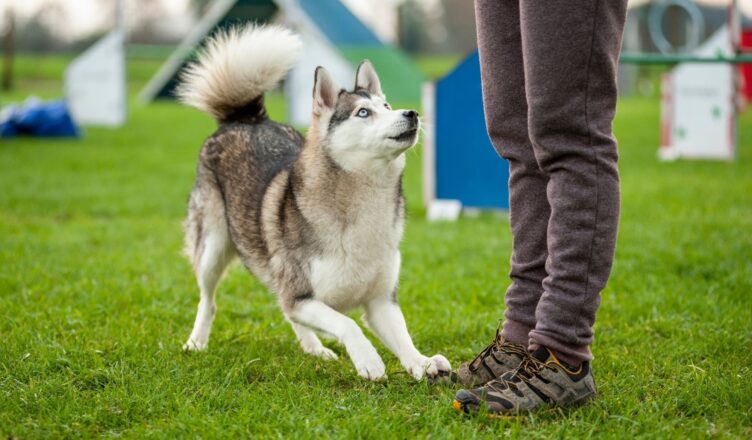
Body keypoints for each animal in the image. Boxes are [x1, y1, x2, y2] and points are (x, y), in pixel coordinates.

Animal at [178, 24, 446, 382]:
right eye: (364, 112)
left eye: (387, 105)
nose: (412, 113)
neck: (363, 205)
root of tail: (245, 119)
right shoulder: (300, 296)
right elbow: (346, 323)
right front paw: (369, 359)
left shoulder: (380, 301)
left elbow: (402, 337)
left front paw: (423, 362)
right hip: (212, 248)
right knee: (209, 302)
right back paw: (196, 343)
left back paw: (315, 349)